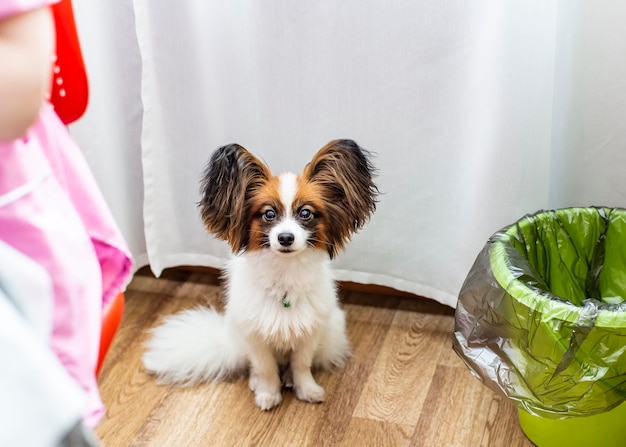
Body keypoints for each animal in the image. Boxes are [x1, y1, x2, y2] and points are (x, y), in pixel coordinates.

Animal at [143, 139, 376, 410]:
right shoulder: (254, 336)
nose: (285, 238)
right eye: (269, 214)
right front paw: (267, 393)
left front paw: (306, 389)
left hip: (331, 332)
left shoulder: (310, 332)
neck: (284, 272)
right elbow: (265, 367)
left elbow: (301, 365)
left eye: (305, 213)